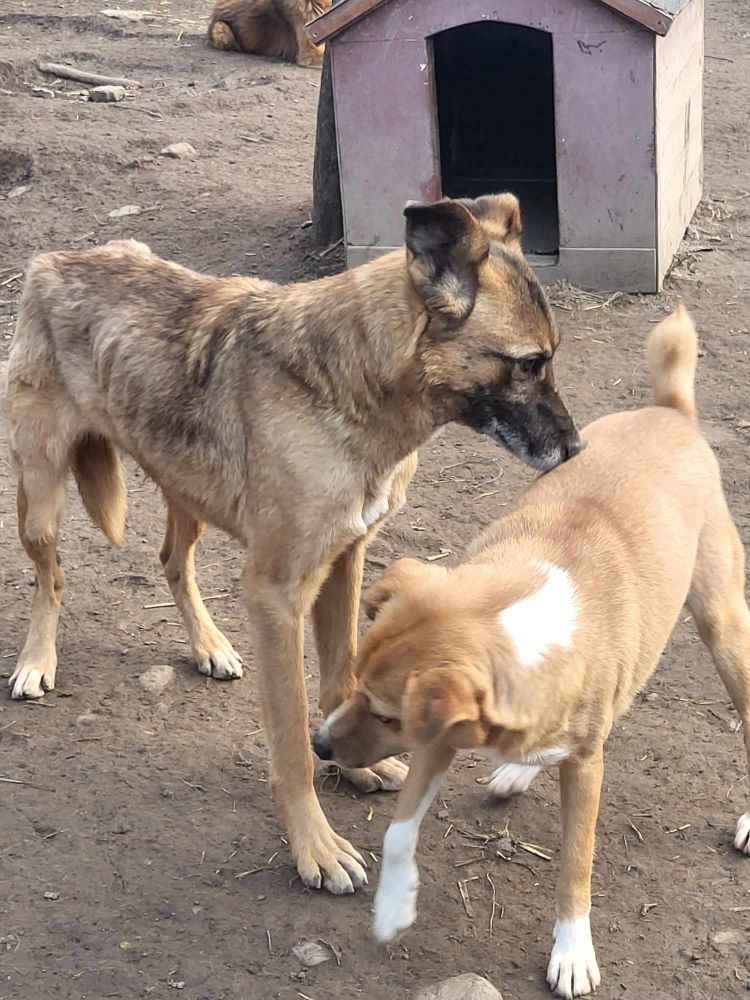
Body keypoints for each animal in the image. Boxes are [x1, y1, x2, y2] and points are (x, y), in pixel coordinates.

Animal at [314, 308, 750, 996]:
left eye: (385, 714)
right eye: (352, 686)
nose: (320, 745)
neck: (515, 620)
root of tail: (670, 411)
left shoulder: (568, 761)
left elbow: (575, 866)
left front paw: (571, 951)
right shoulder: (441, 734)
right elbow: (401, 829)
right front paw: (392, 906)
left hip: (724, 627)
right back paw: (520, 768)